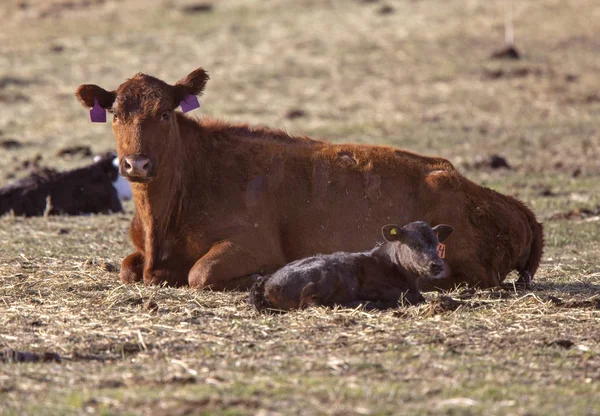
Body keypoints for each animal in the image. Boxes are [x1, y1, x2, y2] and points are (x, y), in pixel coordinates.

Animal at [74, 66, 544, 290]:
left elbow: (199, 274)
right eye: (115, 114)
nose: (137, 165)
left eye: (165, 113)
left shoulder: (251, 242)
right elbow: (127, 267)